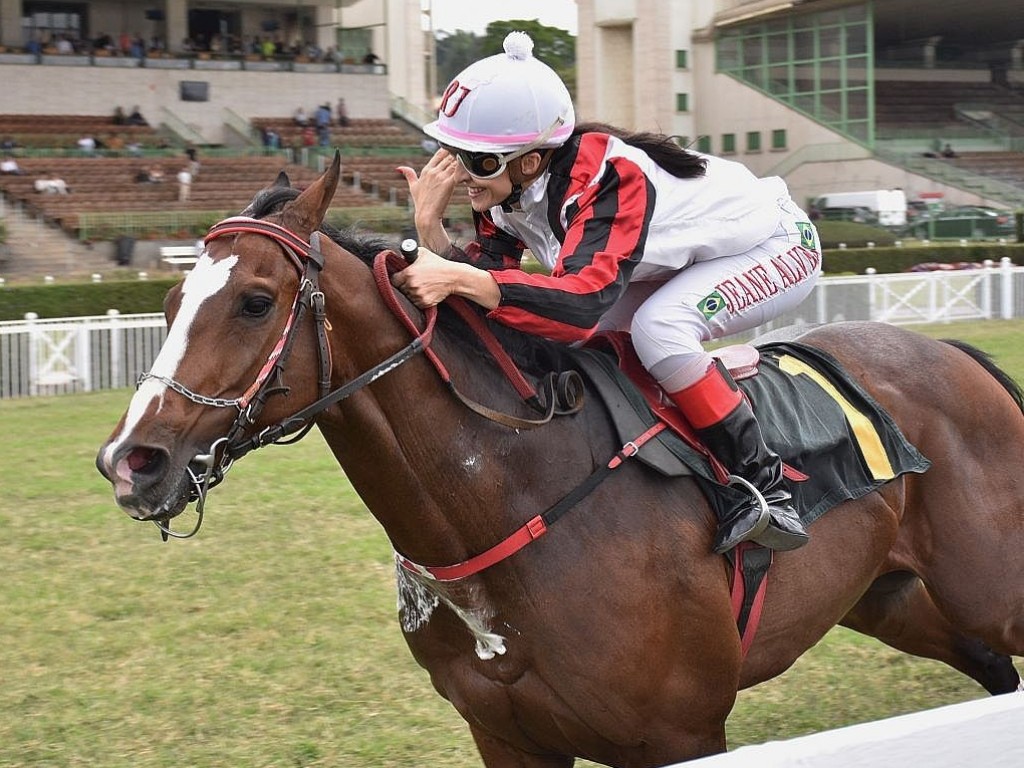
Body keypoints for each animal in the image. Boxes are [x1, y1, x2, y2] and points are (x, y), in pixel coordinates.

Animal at [92, 156, 1019, 768]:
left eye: (255, 303)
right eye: (169, 302)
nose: (130, 461)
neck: (513, 498)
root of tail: (956, 354)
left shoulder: (680, 734)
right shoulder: (506, 734)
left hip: (985, 586)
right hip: (892, 598)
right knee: (992, 671)